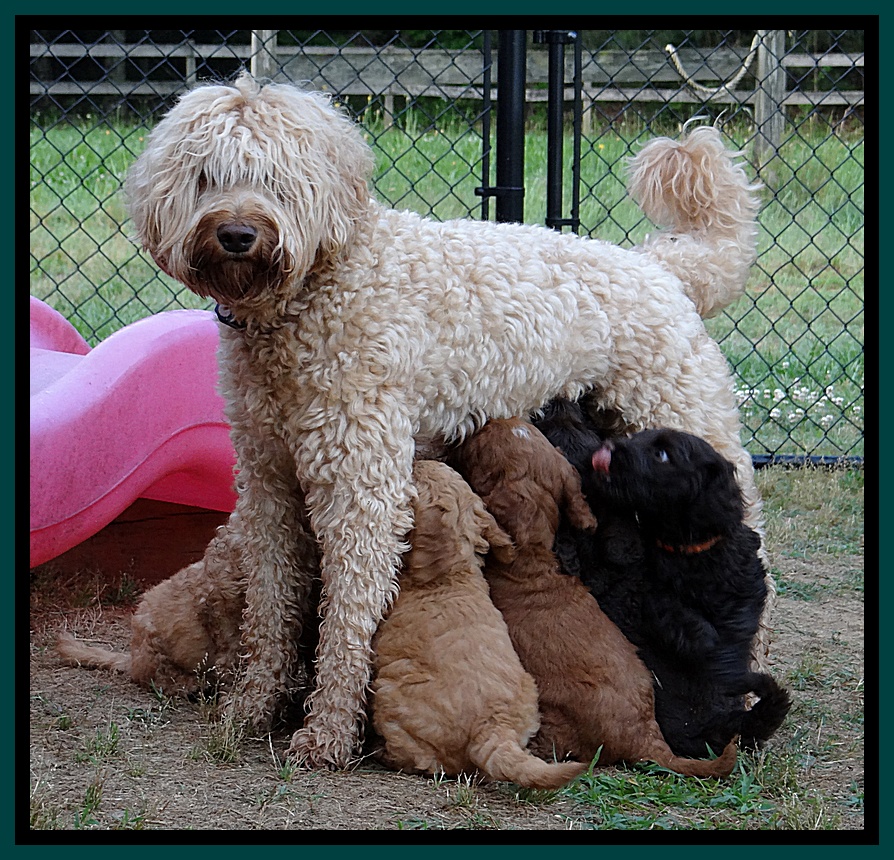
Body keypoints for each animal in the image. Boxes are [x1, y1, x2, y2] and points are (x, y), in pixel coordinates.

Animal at [370, 460, 587, 789]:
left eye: (417, 481)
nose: (418, 460)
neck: (452, 573)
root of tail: (493, 726)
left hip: (390, 695)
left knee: (427, 760)